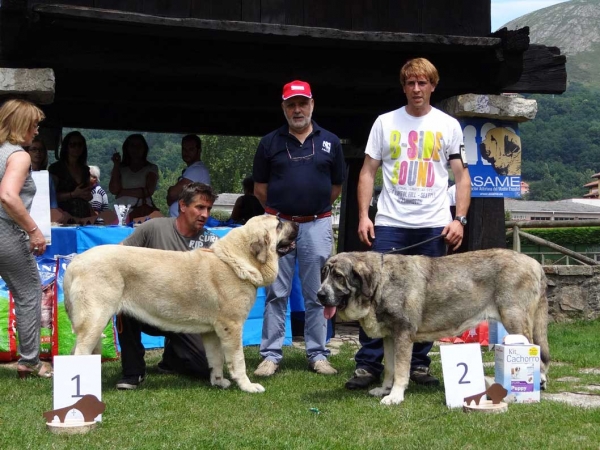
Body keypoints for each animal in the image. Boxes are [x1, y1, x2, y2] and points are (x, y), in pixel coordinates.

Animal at [65, 215, 298, 394]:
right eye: (279, 224)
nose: (296, 222)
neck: (238, 261)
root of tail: (75, 262)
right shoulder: (232, 327)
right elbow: (237, 360)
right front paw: (247, 386)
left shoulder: (212, 332)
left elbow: (215, 359)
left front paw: (218, 382)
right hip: (96, 320)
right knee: (79, 353)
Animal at [316, 248, 552, 406]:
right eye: (324, 274)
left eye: (339, 277)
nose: (319, 295)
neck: (380, 283)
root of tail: (535, 263)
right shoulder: (390, 337)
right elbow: (390, 368)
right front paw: (385, 390)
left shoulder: (403, 334)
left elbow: (401, 369)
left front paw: (395, 396)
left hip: (515, 320)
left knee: (535, 351)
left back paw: (536, 384)